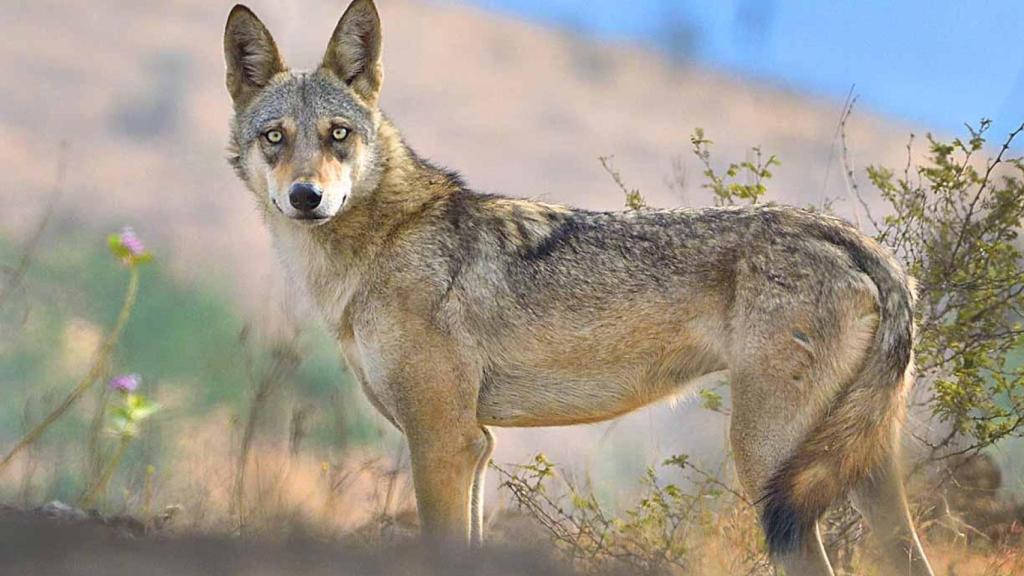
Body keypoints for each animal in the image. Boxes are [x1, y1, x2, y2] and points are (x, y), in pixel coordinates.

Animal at [223, 2, 934, 574]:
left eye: (338, 135)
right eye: (275, 137)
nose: (306, 197)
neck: (380, 243)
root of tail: (860, 243)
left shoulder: (444, 441)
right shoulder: (477, 447)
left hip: (768, 466)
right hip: (857, 465)